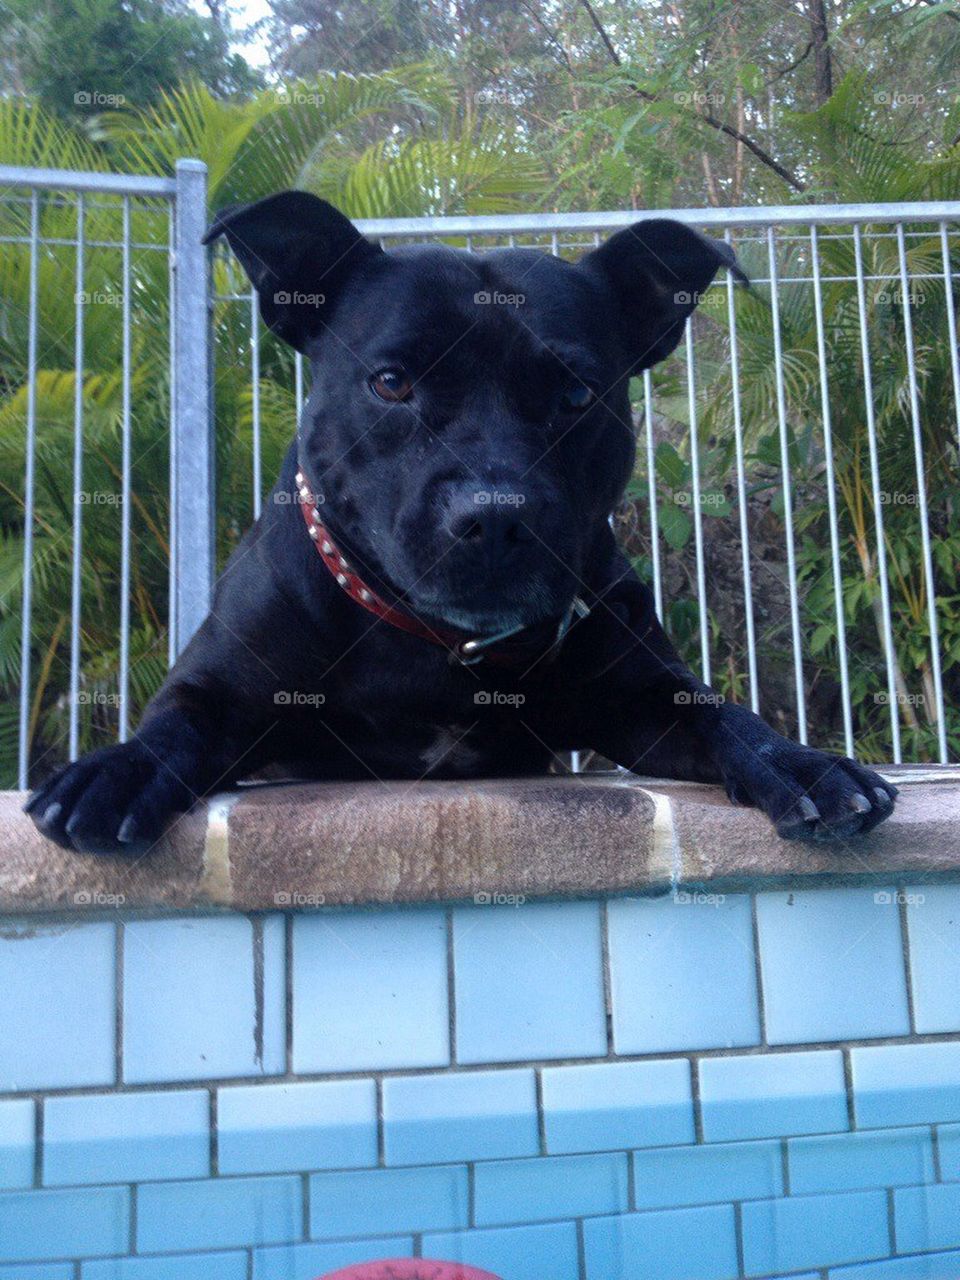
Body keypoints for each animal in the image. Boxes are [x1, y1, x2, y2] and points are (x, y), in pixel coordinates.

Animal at [28, 192, 901, 849]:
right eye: (390, 383)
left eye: (576, 394)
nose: (495, 519)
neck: (434, 643)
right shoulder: (220, 687)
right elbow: (175, 725)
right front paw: (119, 770)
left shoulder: (642, 692)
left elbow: (725, 717)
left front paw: (799, 763)